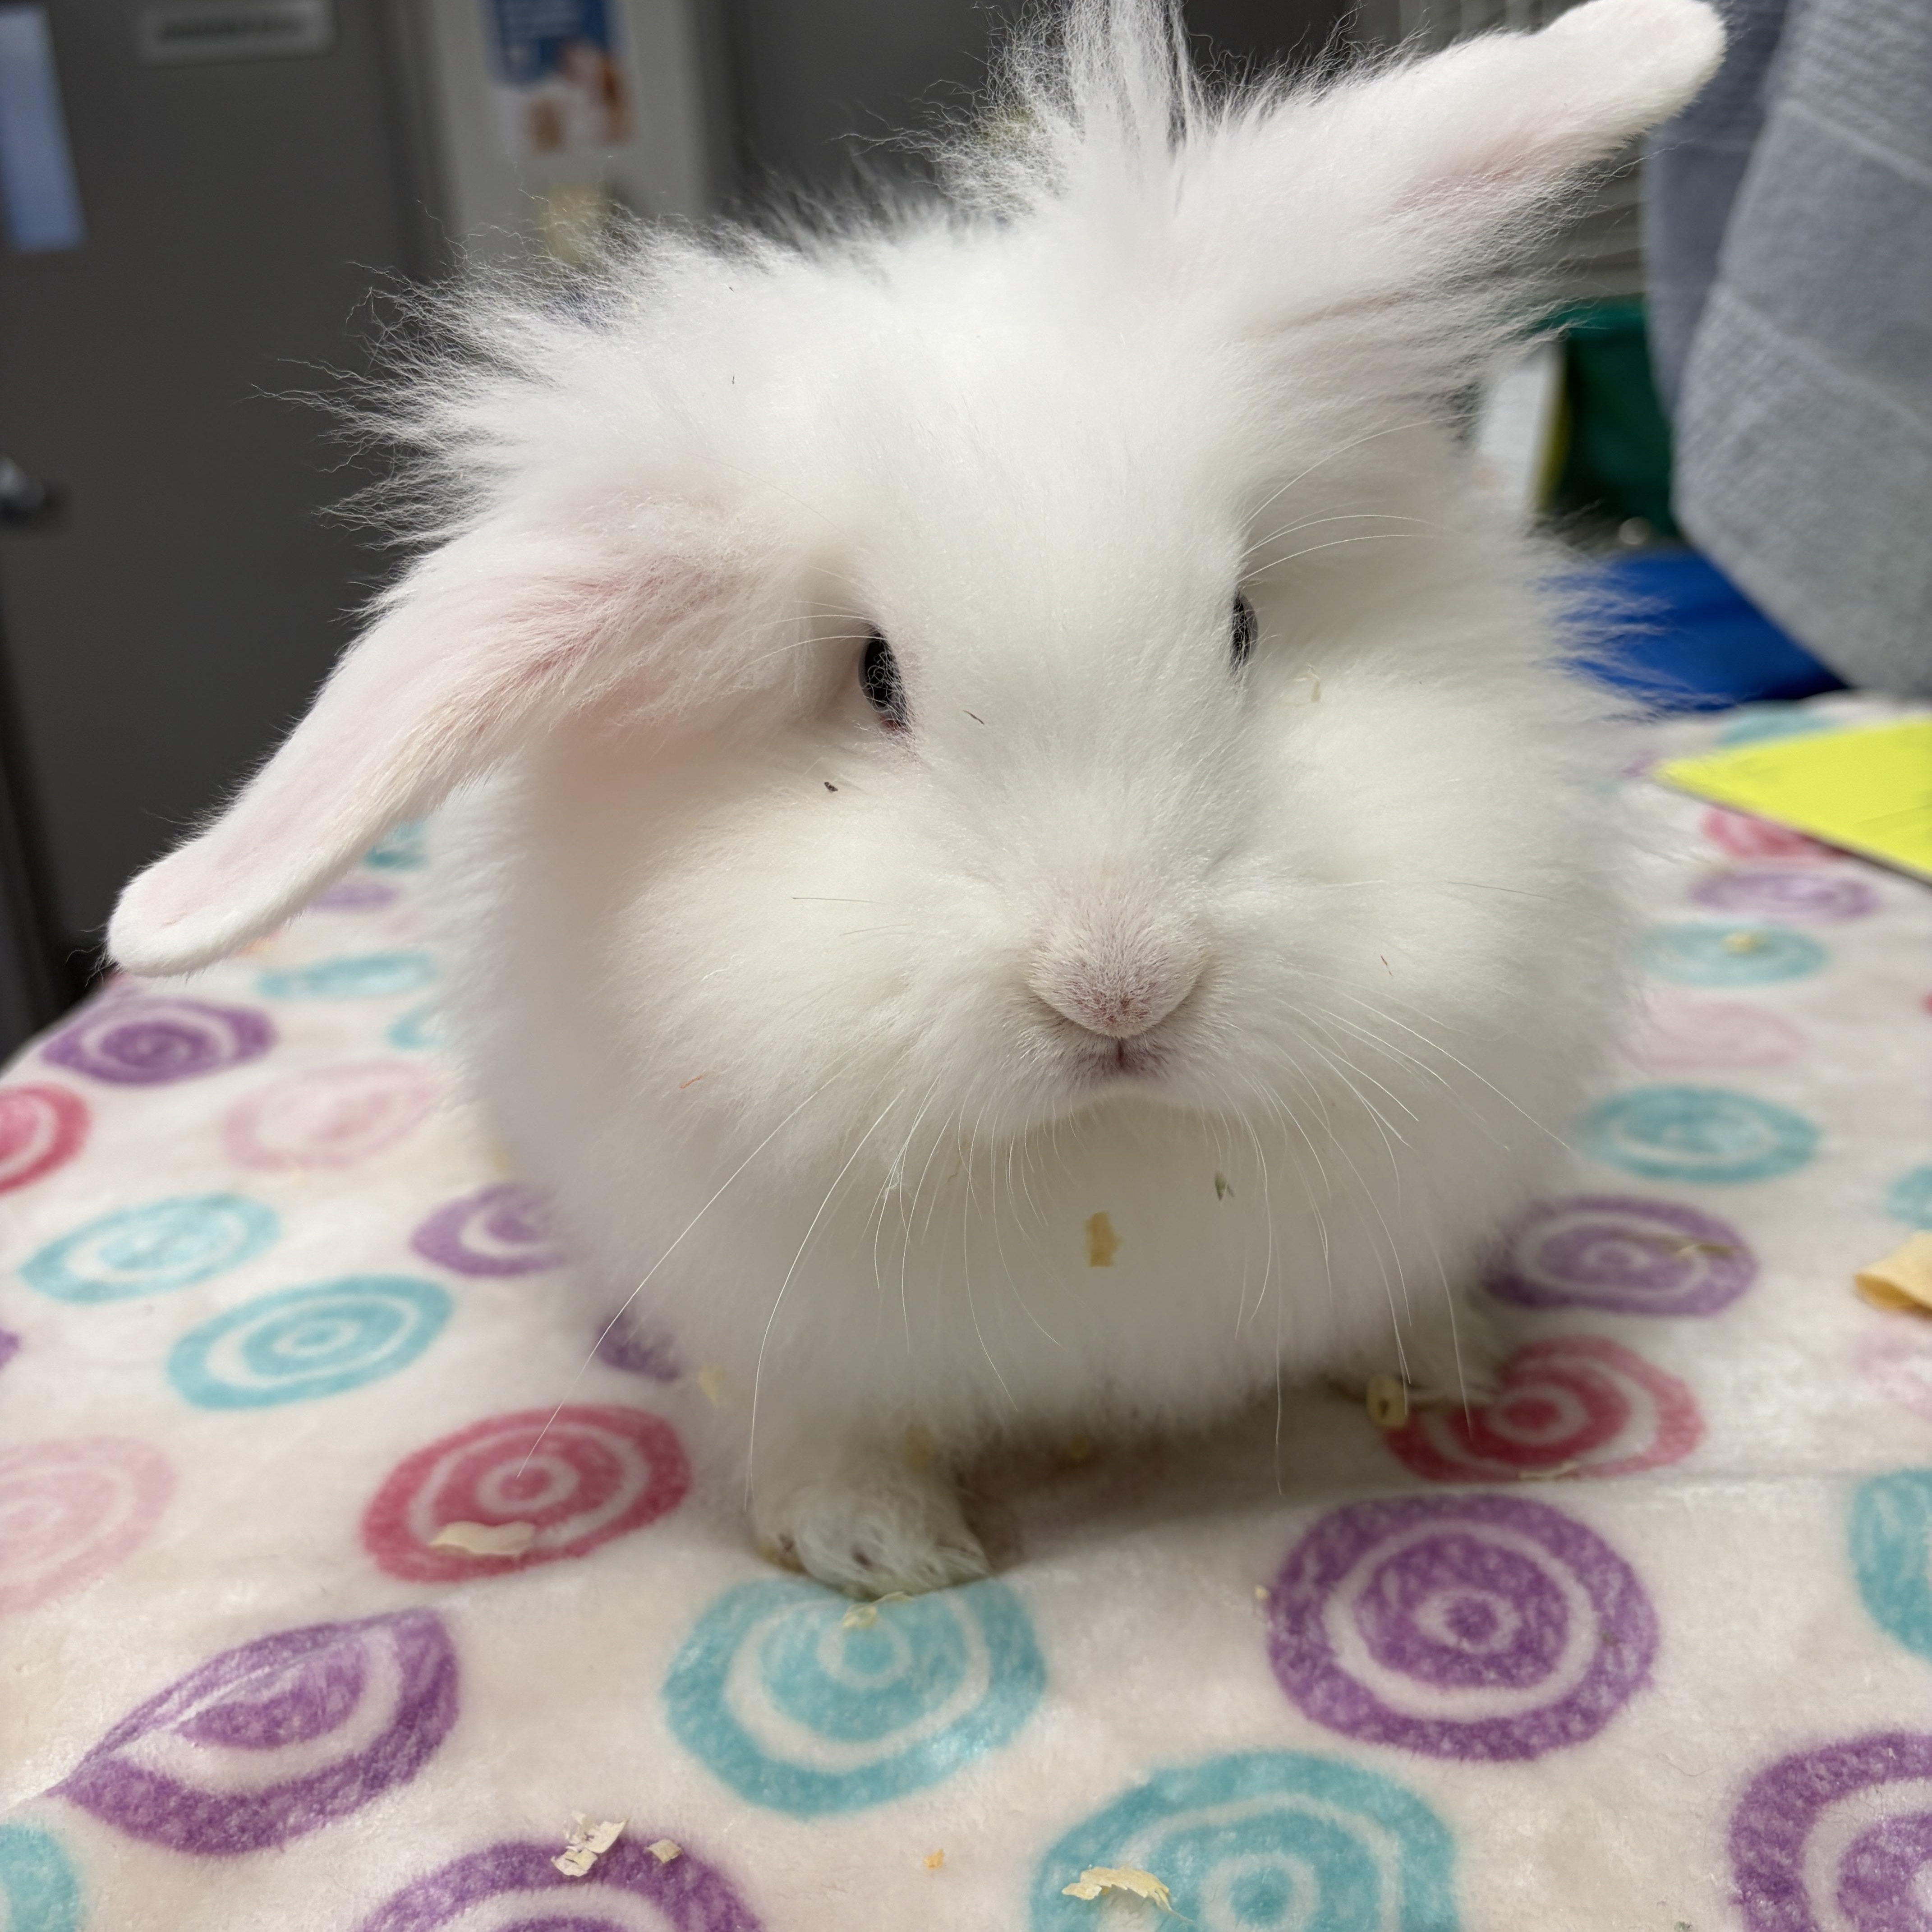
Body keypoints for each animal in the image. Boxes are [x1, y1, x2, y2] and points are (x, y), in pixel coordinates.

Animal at [110, 0, 1724, 1596]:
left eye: (1244, 626)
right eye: (876, 679)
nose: (1121, 989)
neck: (1109, 1166)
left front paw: (1456, 1368)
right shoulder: (762, 1322)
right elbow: (819, 1430)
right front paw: (880, 1549)